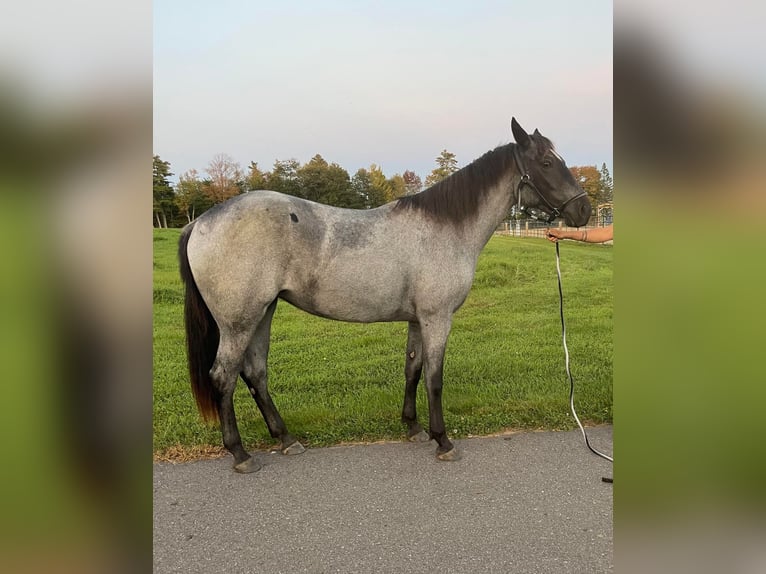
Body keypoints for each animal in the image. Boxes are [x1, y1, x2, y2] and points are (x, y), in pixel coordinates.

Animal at [180, 117, 592, 472]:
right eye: (547, 162)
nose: (584, 210)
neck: (447, 228)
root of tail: (200, 222)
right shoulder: (437, 318)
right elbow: (434, 377)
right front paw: (443, 441)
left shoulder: (417, 319)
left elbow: (412, 368)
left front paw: (413, 428)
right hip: (239, 321)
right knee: (224, 377)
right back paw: (240, 453)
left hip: (263, 313)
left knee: (255, 373)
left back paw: (285, 439)